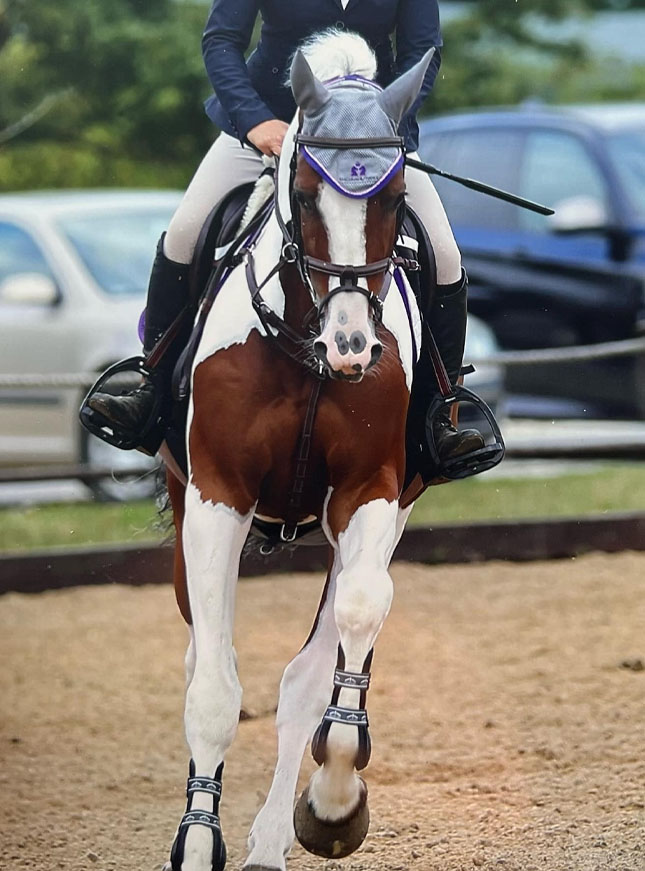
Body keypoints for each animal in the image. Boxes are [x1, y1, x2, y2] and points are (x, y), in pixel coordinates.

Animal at [164, 29, 438, 871]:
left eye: (393, 198)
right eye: (309, 194)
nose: (352, 349)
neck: (304, 347)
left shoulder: (372, 489)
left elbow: (352, 621)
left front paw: (334, 802)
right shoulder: (215, 494)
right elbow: (213, 689)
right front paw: (196, 843)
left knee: (308, 671)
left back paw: (271, 839)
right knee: (203, 659)